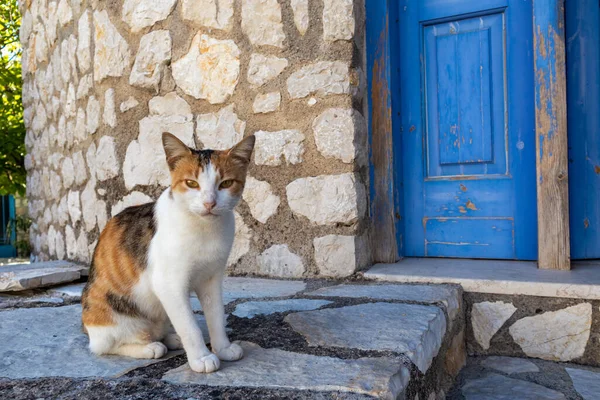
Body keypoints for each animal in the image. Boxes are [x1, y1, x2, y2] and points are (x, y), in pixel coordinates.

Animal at [81, 133, 254, 374]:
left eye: (226, 183)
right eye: (191, 183)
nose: (209, 203)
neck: (205, 229)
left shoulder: (211, 279)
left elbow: (217, 316)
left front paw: (223, 348)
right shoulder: (169, 284)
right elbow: (190, 326)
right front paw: (201, 358)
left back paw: (170, 338)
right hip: (111, 316)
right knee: (105, 346)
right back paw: (149, 347)